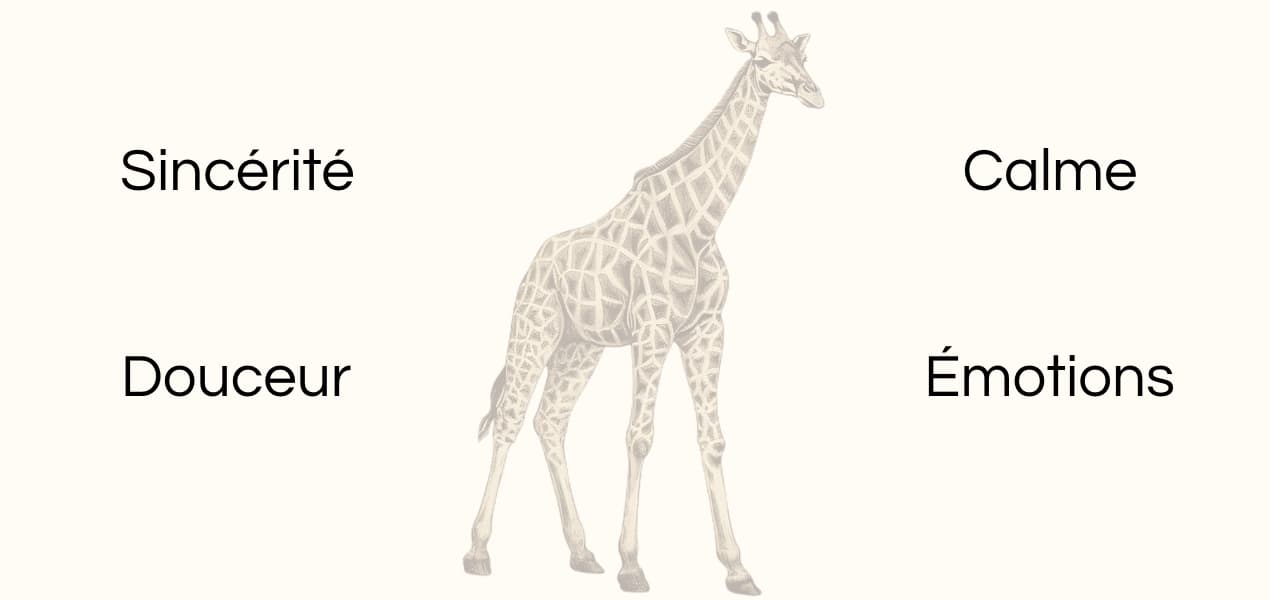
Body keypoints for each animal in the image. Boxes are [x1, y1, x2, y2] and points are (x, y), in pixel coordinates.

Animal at [462, 12, 822, 595]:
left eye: (802, 56)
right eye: (763, 60)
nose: (814, 93)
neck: (700, 224)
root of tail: (535, 263)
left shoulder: (706, 328)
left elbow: (712, 439)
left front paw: (737, 568)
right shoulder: (654, 326)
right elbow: (639, 436)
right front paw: (632, 564)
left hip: (579, 347)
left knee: (550, 421)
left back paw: (582, 552)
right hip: (533, 329)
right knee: (511, 418)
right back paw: (478, 552)